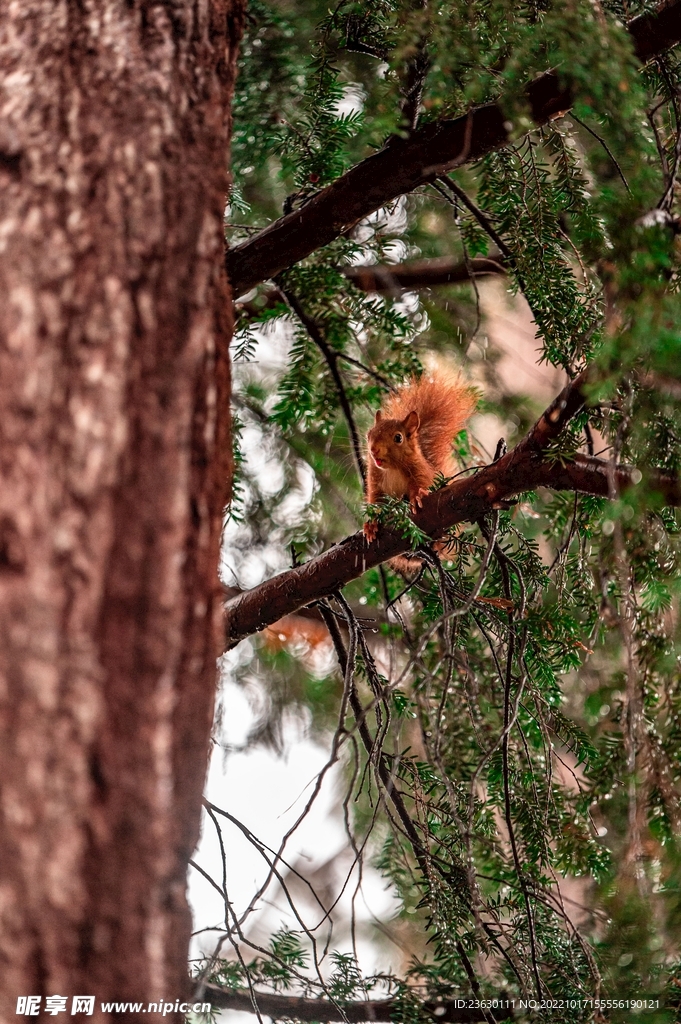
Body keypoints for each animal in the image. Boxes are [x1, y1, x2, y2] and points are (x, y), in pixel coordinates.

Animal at [364, 372, 475, 557]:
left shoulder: (419, 470)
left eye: (398, 437)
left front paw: (417, 498)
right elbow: (376, 501)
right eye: (369, 434)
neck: (392, 469)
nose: (373, 450)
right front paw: (371, 524)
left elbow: (421, 483)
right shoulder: (375, 481)